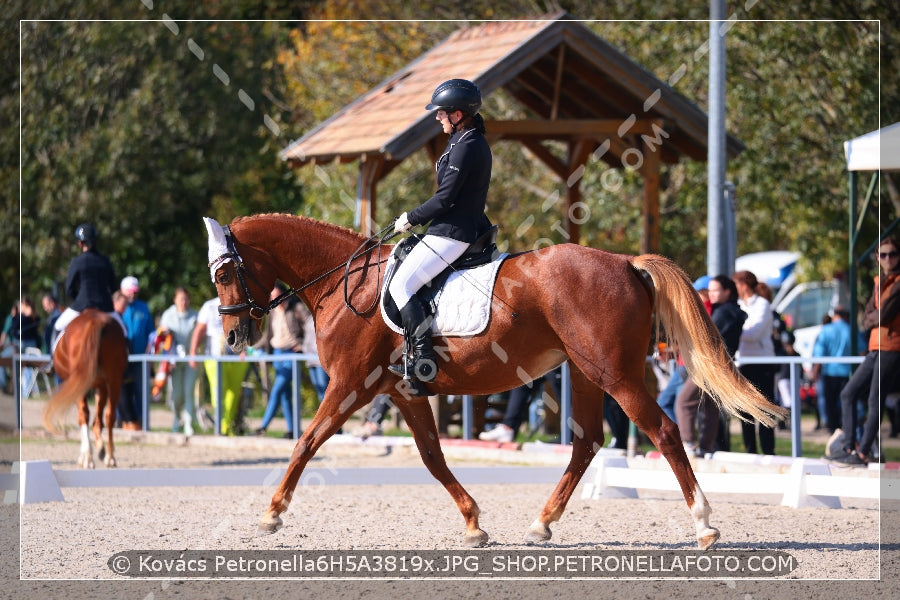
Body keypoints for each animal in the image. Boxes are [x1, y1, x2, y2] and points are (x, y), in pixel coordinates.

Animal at [42, 310, 128, 468]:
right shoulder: (101, 386)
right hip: (114, 380)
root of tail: (96, 321)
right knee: (110, 415)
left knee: (84, 415)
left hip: (82, 383)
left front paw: (87, 454)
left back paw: (87, 457)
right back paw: (110, 457)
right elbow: (99, 419)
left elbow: (84, 417)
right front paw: (101, 448)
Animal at [206, 213, 788, 552]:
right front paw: (473, 523)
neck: (348, 284)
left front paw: (271, 514)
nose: (233, 334)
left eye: (224, 273)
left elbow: (305, 442)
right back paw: (542, 524)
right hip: (584, 372)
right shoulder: (400, 392)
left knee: (663, 433)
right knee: (587, 443)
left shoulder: (351, 384)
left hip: (615, 375)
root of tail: (625, 261)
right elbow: (432, 457)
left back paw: (704, 525)